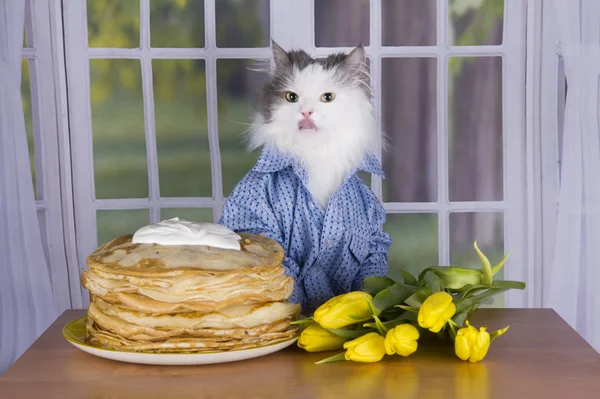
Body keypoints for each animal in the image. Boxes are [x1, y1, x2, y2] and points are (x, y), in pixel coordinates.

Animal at [218, 40, 392, 310]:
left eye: (327, 97)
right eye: (292, 97)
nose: (307, 112)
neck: (315, 155)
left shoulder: (373, 241)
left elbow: (369, 279)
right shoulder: (262, 225)